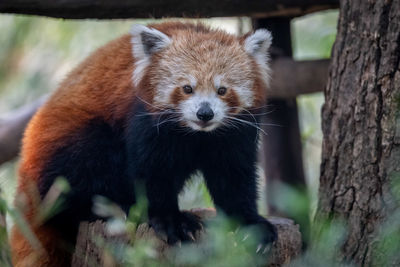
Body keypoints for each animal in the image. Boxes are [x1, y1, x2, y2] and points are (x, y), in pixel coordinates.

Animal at [10, 22, 276, 266]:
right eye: (187, 88)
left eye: (222, 90)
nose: (204, 113)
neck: (196, 134)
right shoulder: (146, 122)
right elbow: (152, 173)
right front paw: (170, 220)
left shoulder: (234, 134)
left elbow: (234, 177)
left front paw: (251, 223)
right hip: (76, 142)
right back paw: (120, 208)